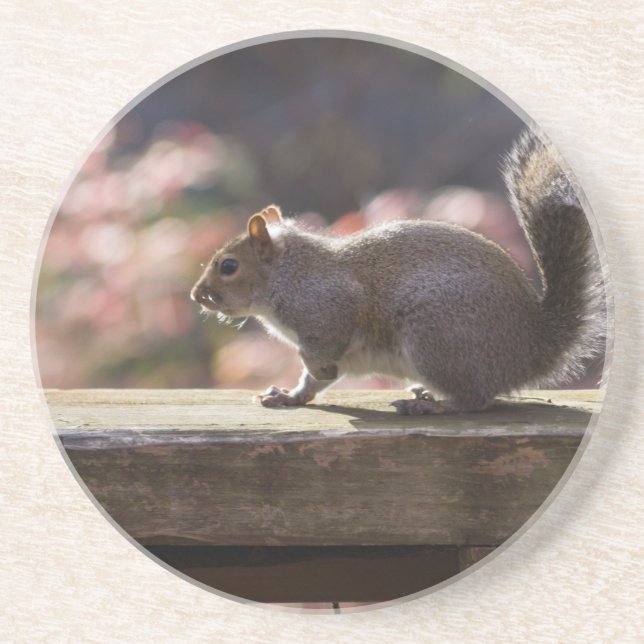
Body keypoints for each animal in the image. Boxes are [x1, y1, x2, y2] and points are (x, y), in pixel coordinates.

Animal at [190, 130, 605, 414]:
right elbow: (313, 380)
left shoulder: (327, 307)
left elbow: (319, 354)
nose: (197, 295)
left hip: (436, 335)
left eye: (228, 266)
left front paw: (312, 373)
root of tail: (533, 347)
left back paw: (432, 405)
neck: (287, 274)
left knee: (474, 399)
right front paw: (290, 396)